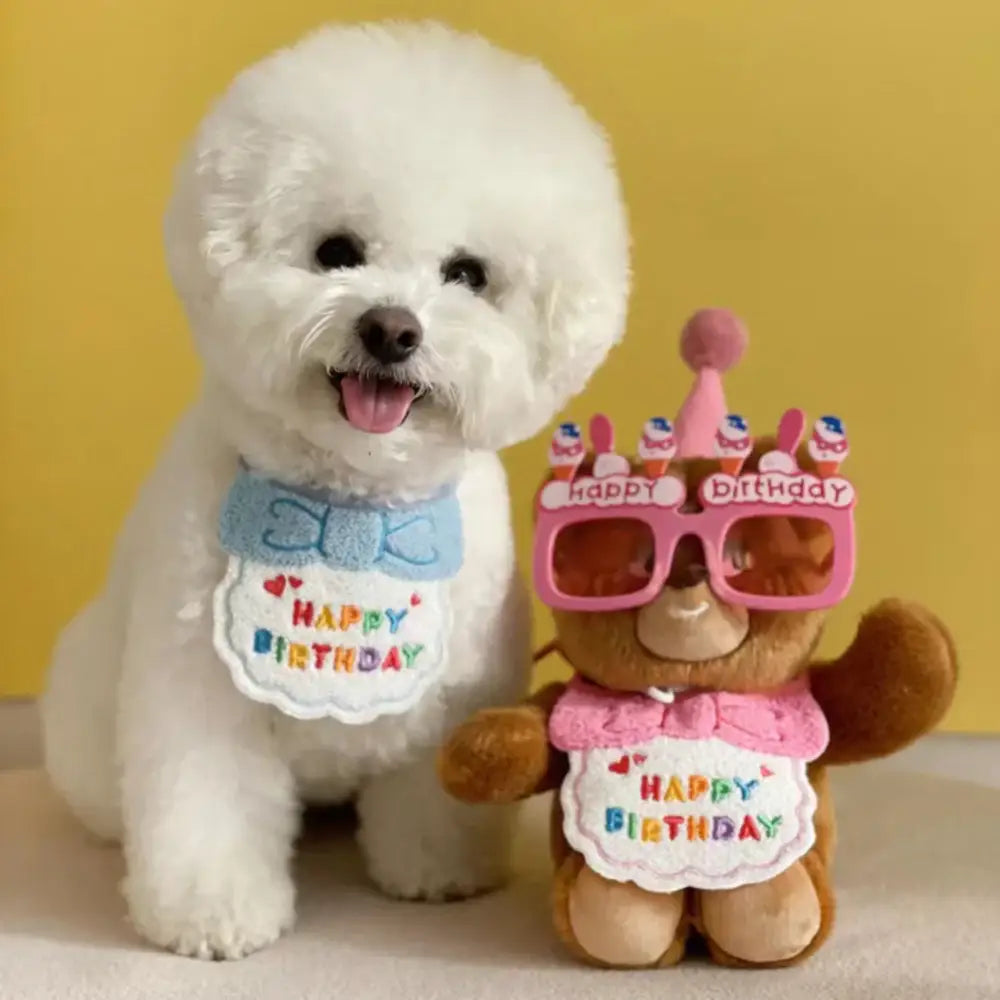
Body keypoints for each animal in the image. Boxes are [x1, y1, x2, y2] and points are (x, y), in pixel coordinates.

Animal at [45, 21, 632, 960]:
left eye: (468, 274)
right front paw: (212, 913)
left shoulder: (454, 697)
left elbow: (436, 798)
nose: (391, 329)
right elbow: (204, 810)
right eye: (336, 252)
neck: (348, 517)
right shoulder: (198, 697)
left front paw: (437, 870)